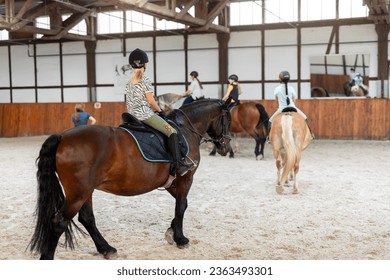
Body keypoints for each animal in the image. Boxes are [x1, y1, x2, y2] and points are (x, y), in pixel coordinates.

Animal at [30, 99, 232, 260]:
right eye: (228, 120)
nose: (225, 146)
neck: (185, 130)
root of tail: (63, 137)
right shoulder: (185, 178)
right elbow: (181, 206)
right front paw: (180, 239)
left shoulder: (171, 182)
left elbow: (183, 205)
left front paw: (171, 232)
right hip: (79, 193)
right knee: (60, 222)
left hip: (85, 191)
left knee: (87, 218)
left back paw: (106, 249)